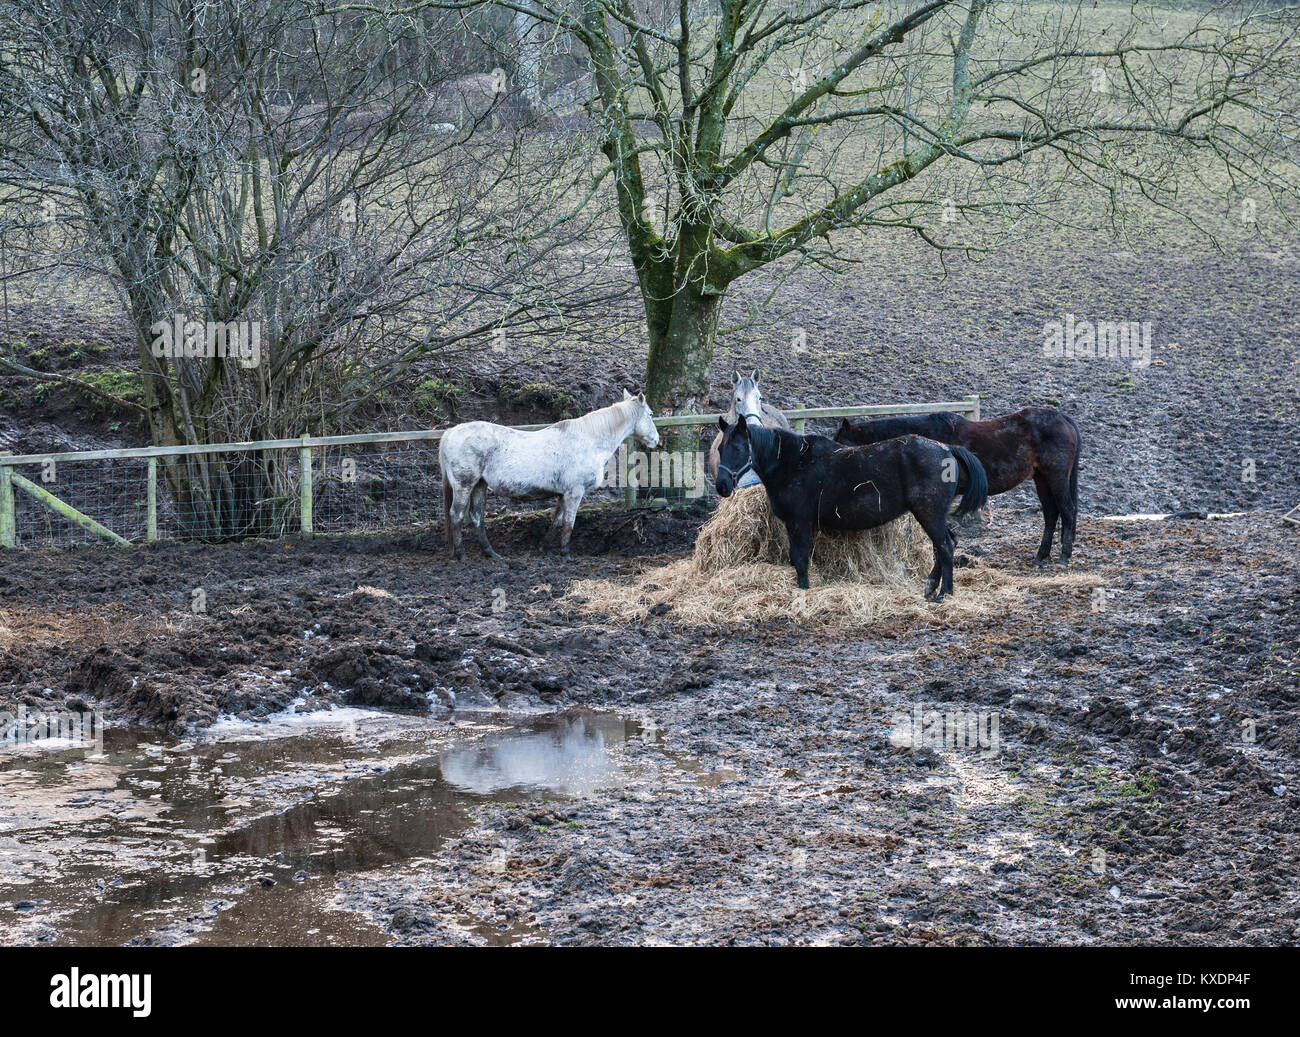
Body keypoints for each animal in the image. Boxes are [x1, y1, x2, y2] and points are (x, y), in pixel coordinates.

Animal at [439, 390, 659, 560]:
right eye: (650, 414)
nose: (656, 440)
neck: (588, 440)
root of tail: (450, 433)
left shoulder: (564, 494)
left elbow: (557, 519)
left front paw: (545, 547)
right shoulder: (574, 492)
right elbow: (569, 523)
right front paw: (566, 554)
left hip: (479, 484)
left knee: (477, 517)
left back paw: (491, 553)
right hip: (464, 485)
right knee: (456, 515)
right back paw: (461, 554)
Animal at [715, 417, 989, 601]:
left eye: (738, 448)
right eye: (720, 448)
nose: (722, 485)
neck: (793, 462)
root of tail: (947, 449)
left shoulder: (798, 522)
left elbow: (800, 559)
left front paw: (803, 590)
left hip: (928, 513)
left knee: (945, 546)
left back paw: (945, 593)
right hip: (933, 515)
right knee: (945, 545)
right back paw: (931, 587)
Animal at [835, 407, 1081, 564]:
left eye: (840, 444)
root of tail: (1062, 418)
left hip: (1056, 476)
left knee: (1067, 510)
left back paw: (1064, 556)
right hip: (1042, 478)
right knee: (1051, 514)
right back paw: (1041, 556)